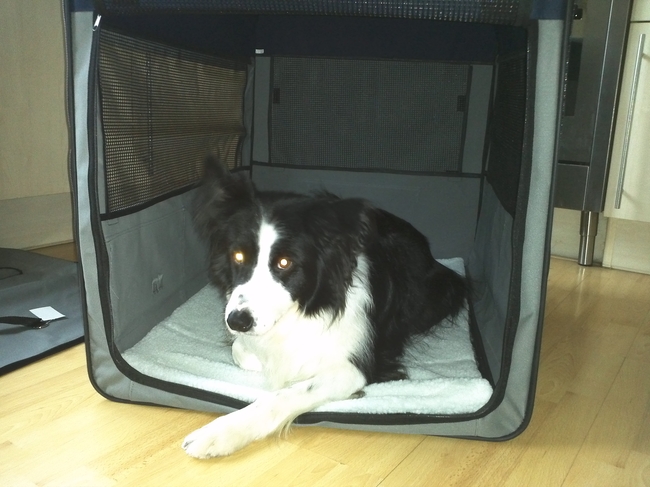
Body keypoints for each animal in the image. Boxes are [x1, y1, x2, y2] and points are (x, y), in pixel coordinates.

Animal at [182, 156, 468, 458]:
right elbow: (243, 351)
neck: (307, 306)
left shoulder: (354, 366)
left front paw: (219, 434)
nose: (237, 321)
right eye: (237, 256)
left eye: (285, 263)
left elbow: (285, 394)